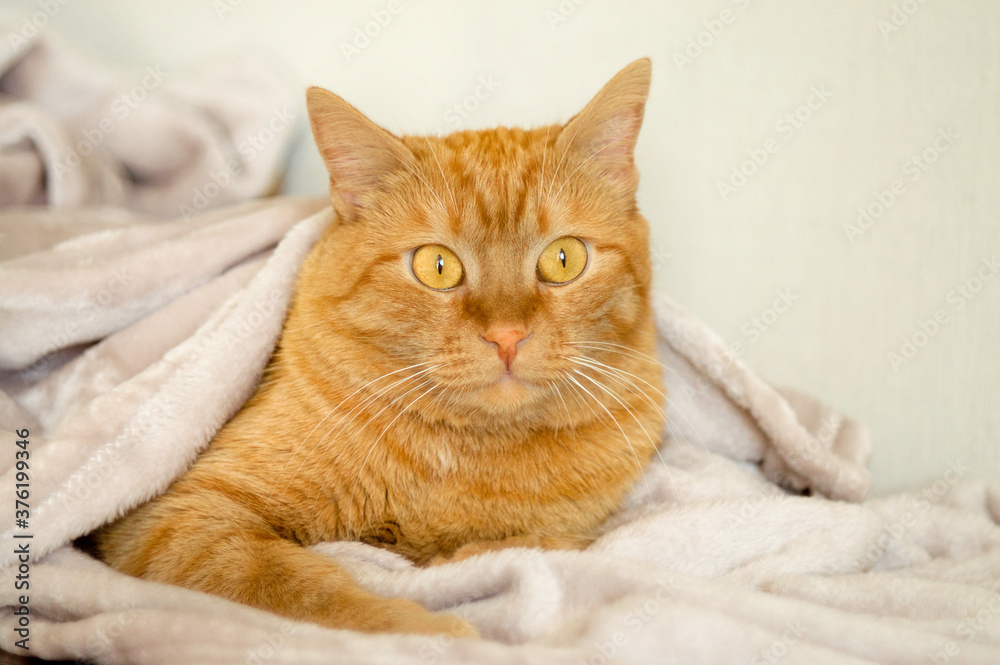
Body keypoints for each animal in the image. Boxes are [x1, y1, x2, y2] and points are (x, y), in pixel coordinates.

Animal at [92, 59, 664, 636]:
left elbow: (529, 546)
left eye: (564, 259)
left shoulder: (581, 532)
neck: (470, 458)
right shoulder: (179, 516)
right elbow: (301, 589)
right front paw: (431, 630)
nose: (507, 335)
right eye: (437, 266)